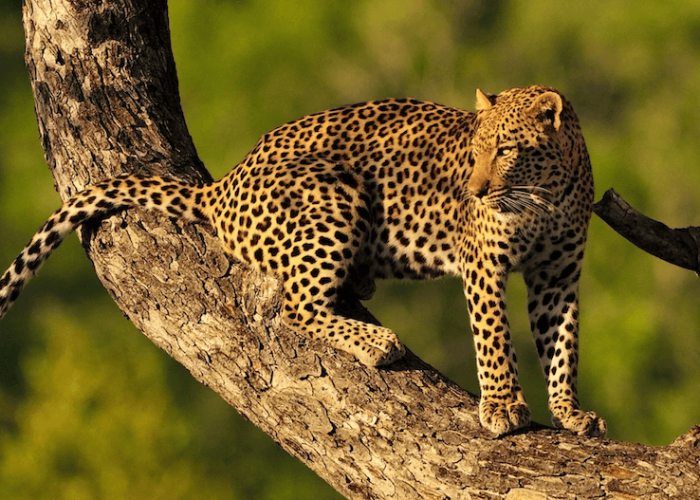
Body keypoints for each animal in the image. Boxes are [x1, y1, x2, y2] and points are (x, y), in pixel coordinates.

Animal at [0, 85, 606, 437]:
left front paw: (571, 412)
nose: (474, 191)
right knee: (298, 307)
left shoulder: (558, 276)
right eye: (474, 152)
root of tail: (222, 186)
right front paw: (502, 407)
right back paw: (377, 342)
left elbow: (563, 345)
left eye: (505, 150)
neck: (546, 193)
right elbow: (495, 338)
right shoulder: (485, 266)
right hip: (333, 193)